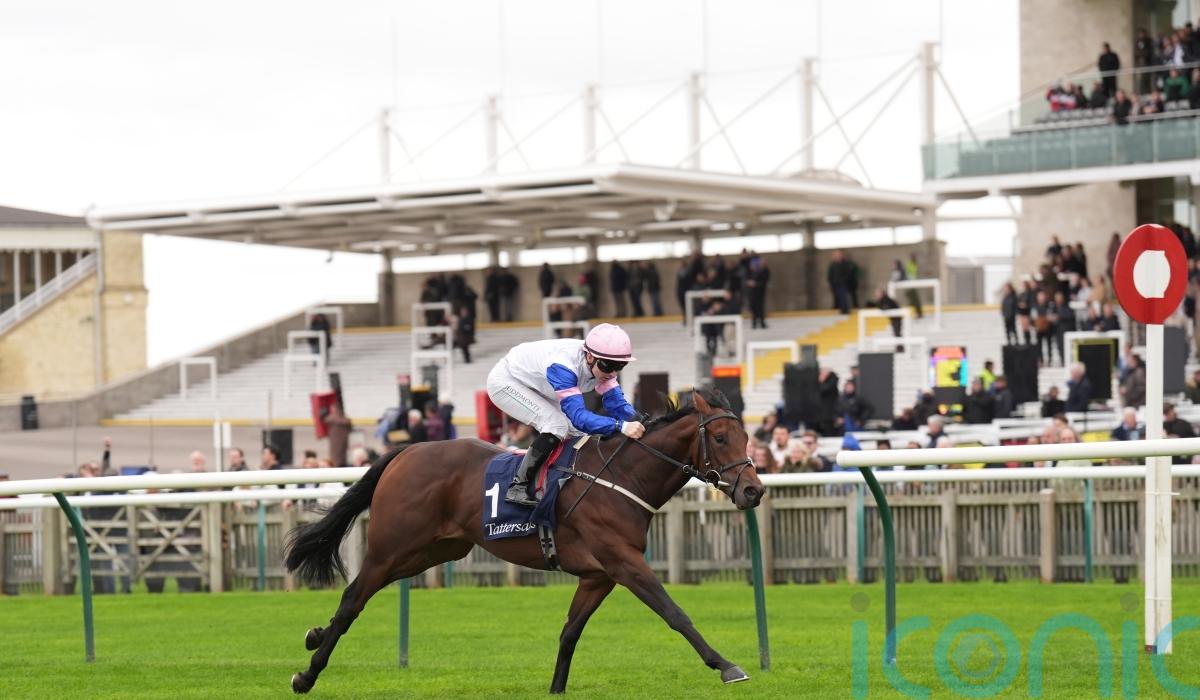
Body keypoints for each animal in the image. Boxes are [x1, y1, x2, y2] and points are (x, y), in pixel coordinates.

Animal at [284, 388, 764, 694]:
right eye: (721, 437)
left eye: (747, 437)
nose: (753, 491)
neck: (621, 477)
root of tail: (407, 451)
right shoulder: (624, 563)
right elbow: (675, 613)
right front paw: (727, 666)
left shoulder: (599, 576)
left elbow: (569, 633)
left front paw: (555, 688)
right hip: (393, 545)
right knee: (354, 597)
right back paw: (307, 674)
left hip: (434, 549)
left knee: (358, 594)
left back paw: (313, 635)